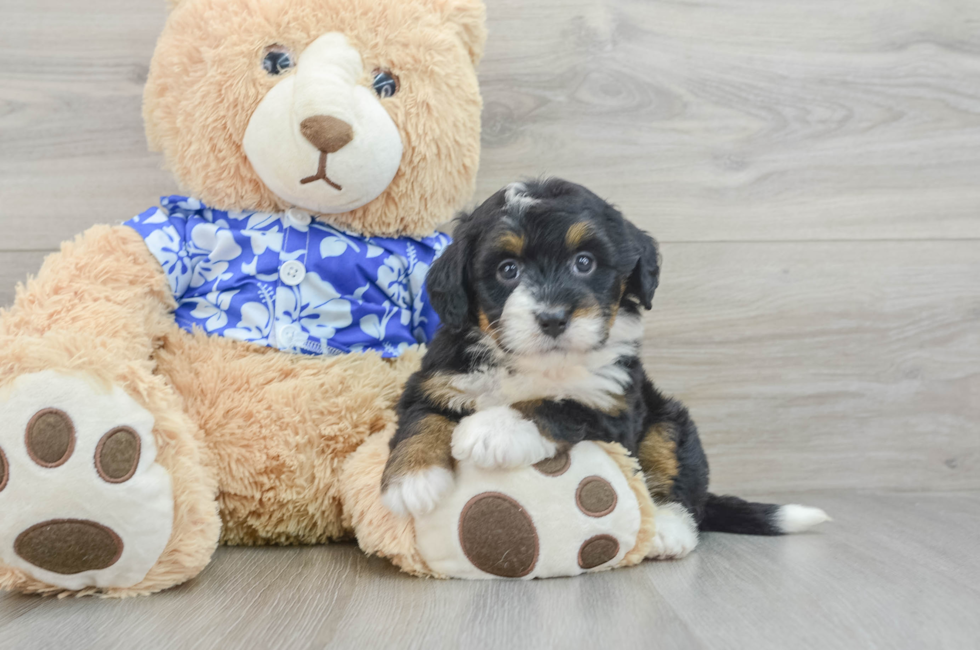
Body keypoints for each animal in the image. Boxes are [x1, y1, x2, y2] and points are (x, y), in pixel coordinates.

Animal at [382, 177, 828, 556]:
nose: (553, 317)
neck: (535, 362)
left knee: (675, 474)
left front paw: (494, 429)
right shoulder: (438, 378)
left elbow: (559, 405)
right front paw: (412, 481)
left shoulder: (613, 405)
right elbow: (421, 419)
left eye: (584, 263)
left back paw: (668, 528)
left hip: (670, 419)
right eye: (508, 270)